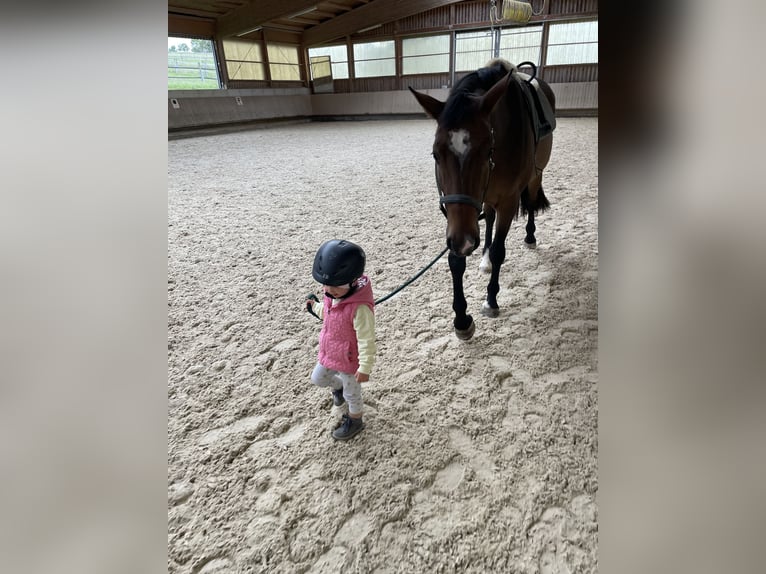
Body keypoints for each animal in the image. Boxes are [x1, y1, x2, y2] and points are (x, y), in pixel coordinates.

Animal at [409, 58, 556, 340]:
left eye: (488, 150)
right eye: (435, 154)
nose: (465, 242)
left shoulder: (508, 201)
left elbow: (500, 250)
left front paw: (490, 300)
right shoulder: (458, 217)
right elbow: (456, 261)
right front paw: (461, 319)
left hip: (536, 174)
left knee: (531, 202)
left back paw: (529, 236)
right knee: (488, 216)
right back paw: (485, 257)